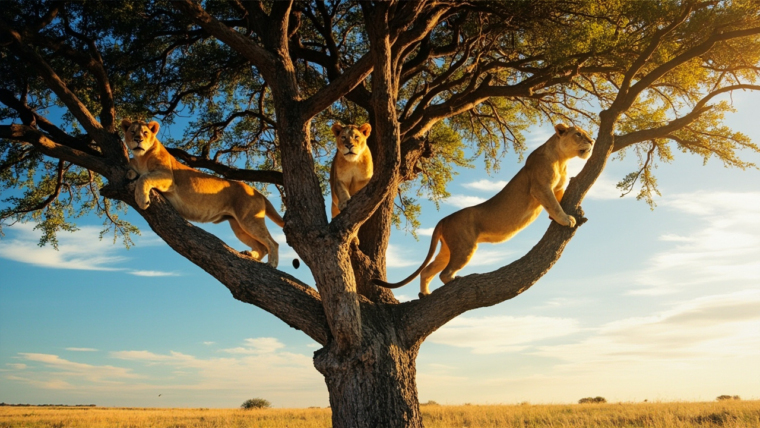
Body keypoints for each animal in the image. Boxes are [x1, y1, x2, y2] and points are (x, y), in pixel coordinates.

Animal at [121, 119, 282, 268]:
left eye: (145, 133)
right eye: (132, 132)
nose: (138, 139)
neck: (142, 157)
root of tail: (257, 192)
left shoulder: (168, 177)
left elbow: (145, 177)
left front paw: (142, 200)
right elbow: (135, 170)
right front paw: (131, 173)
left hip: (249, 219)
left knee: (272, 242)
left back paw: (272, 264)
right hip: (238, 225)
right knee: (261, 246)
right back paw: (251, 254)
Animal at [372, 123, 594, 297]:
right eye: (578, 134)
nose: (592, 141)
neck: (562, 159)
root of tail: (443, 219)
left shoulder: (556, 188)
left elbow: (558, 201)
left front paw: (559, 215)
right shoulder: (540, 187)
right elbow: (554, 204)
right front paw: (566, 219)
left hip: (448, 248)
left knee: (427, 270)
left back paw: (425, 294)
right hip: (465, 247)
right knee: (444, 273)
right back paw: (454, 281)